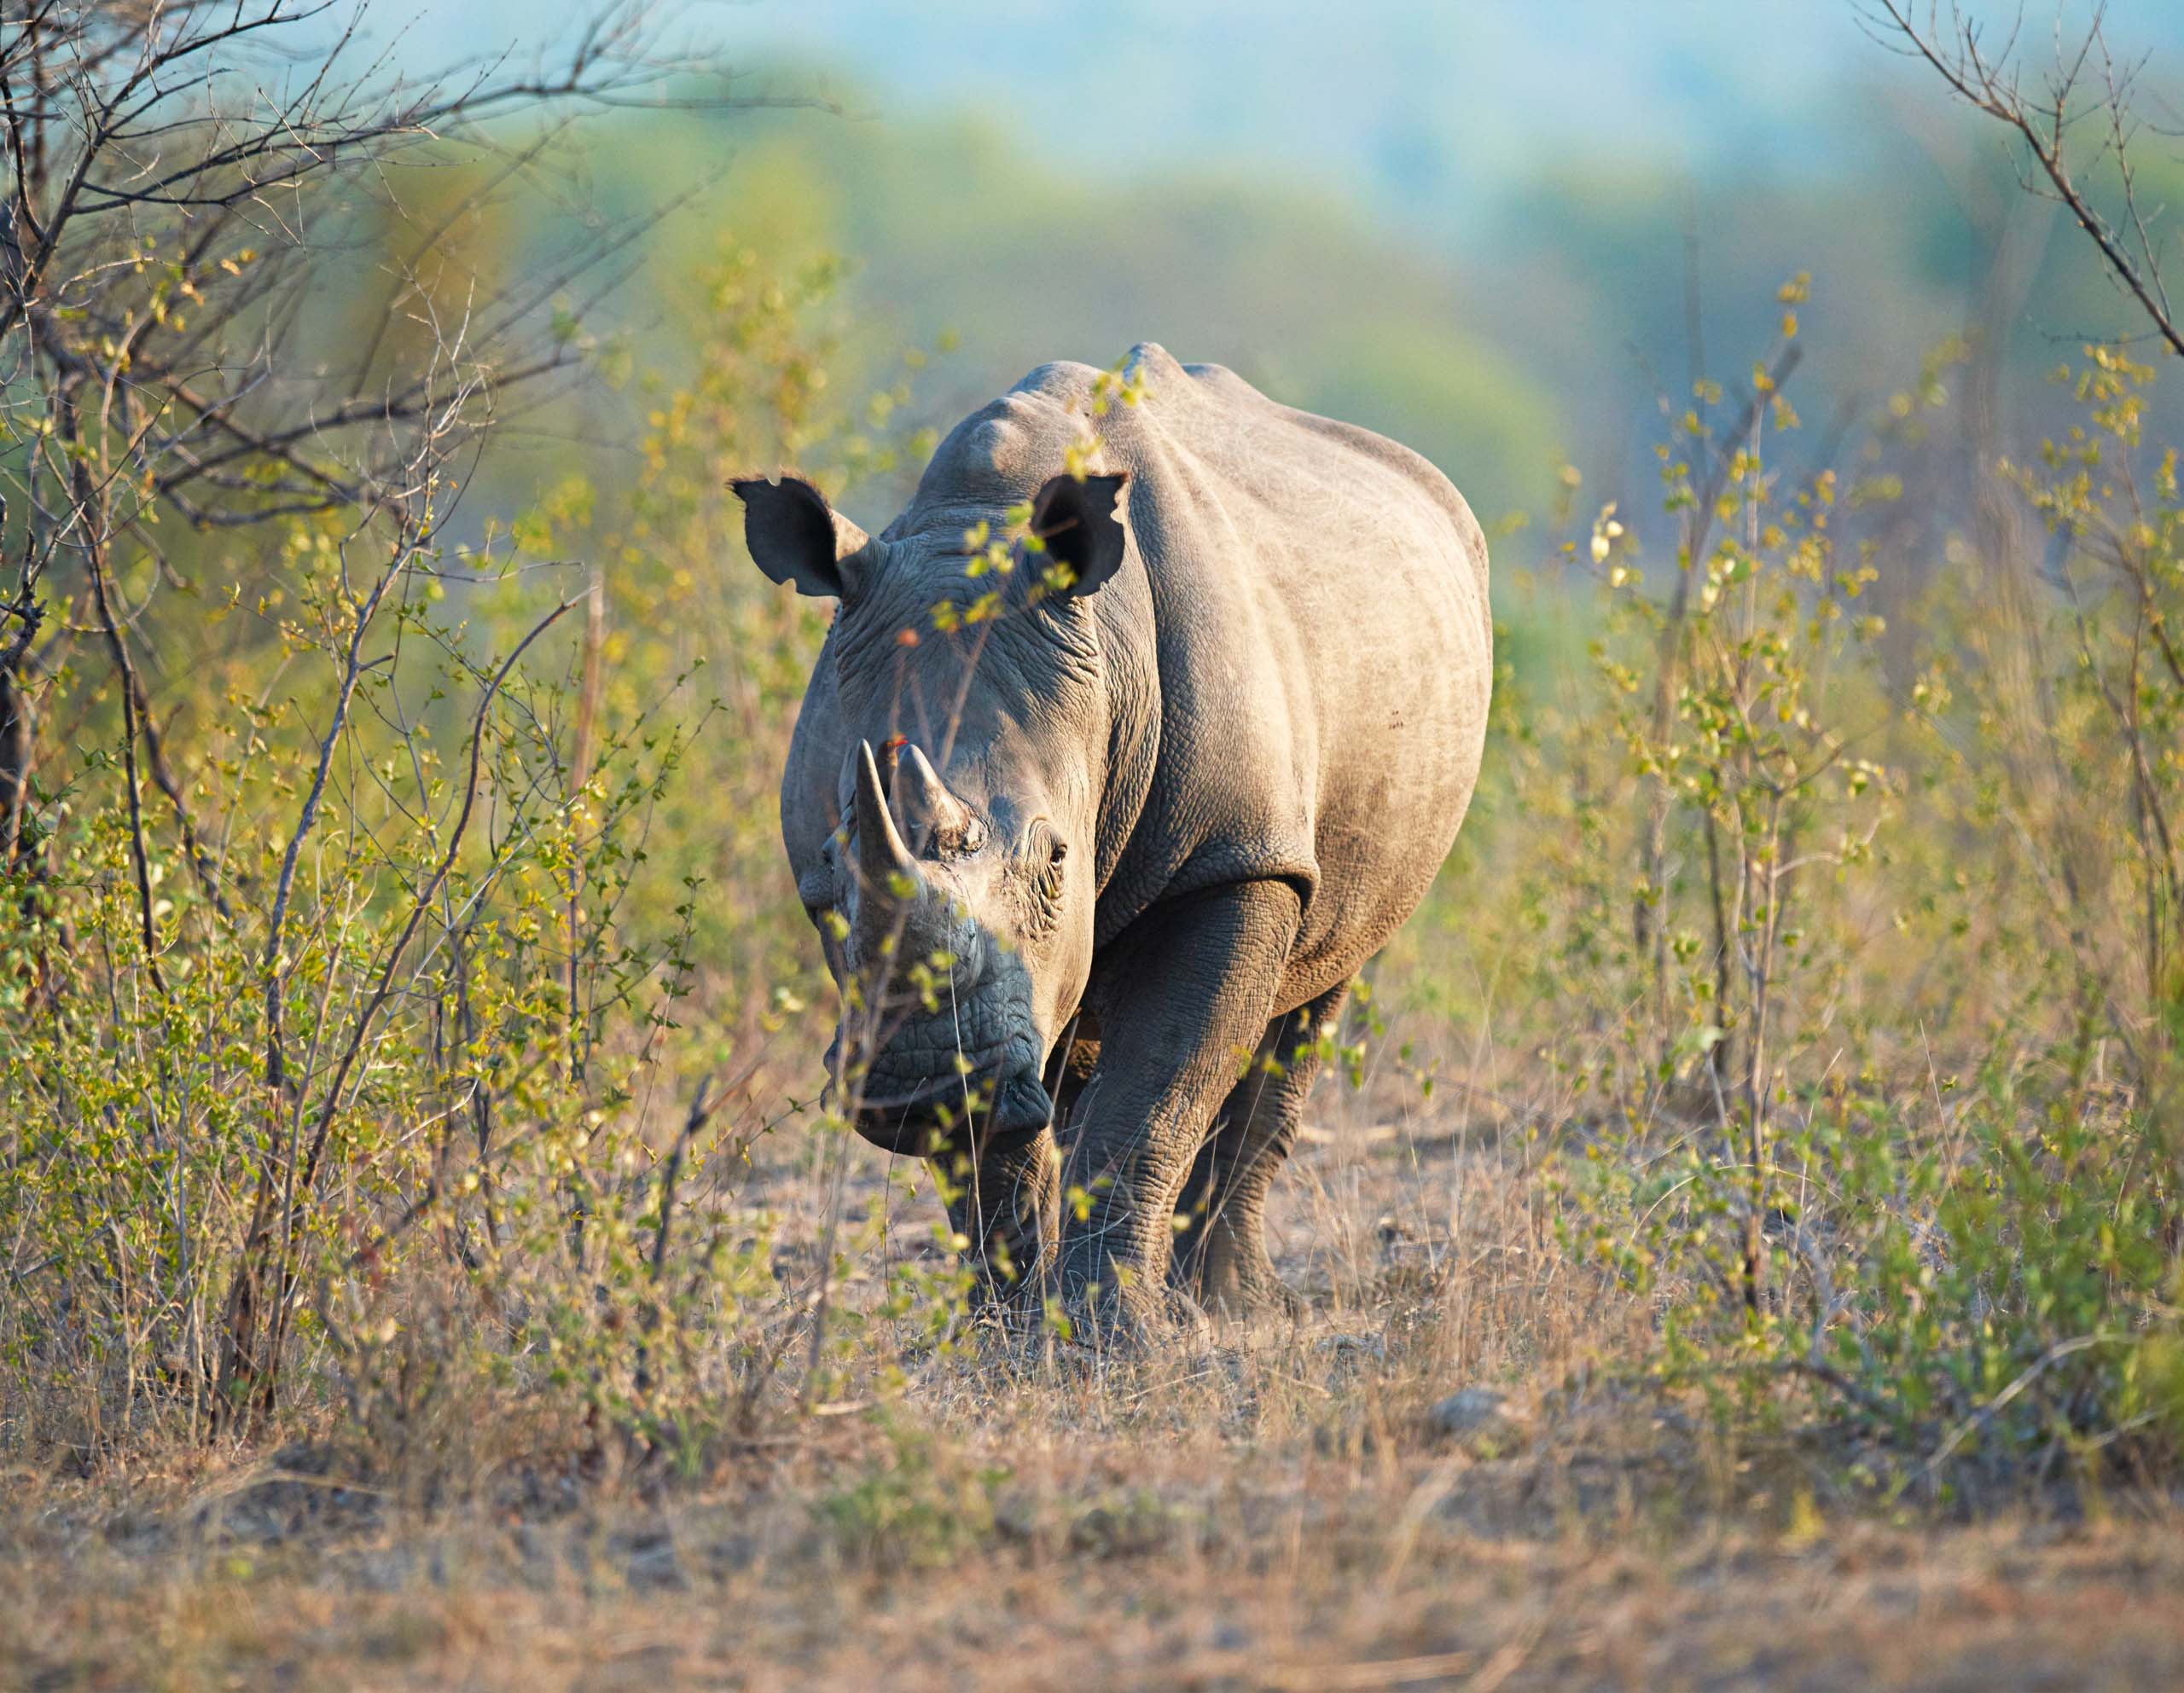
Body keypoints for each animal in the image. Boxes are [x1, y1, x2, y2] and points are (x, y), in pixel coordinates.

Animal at [731, 343, 1490, 1327]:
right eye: (830, 873)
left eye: (1056, 859)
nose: (917, 1079)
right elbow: (991, 1152)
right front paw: (1008, 1334)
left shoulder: (1233, 858)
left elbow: (1151, 1100)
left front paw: (1111, 1338)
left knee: (1312, 995)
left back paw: (1231, 1306)